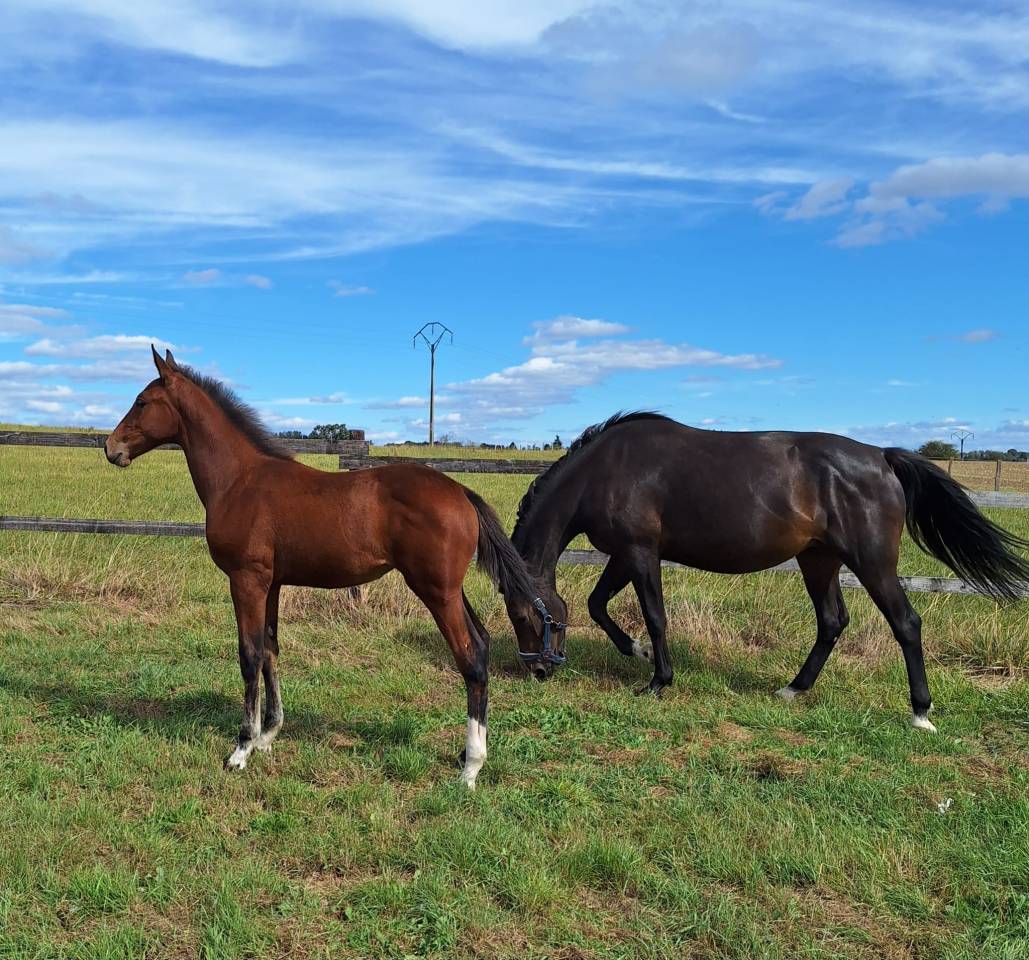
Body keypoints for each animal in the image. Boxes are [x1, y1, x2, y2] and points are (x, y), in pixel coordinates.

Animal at [105, 347, 560, 788]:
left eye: (141, 401)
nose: (112, 449)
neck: (239, 481)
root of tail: (461, 492)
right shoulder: (272, 584)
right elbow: (270, 649)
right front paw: (269, 736)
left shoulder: (246, 580)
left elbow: (249, 654)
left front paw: (242, 749)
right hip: (450, 590)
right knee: (482, 642)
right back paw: (468, 756)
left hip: (436, 591)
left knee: (471, 657)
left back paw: (471, 769)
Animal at [509, 412, 1029, 731]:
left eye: (521, 615)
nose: (538, 671)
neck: (605, 470)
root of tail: (881, 456)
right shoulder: (623, 555)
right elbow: (597, 605)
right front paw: (634, 651)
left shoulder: (639, 553)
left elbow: (655, 617)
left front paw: (657, 680)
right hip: (818, 560)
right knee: (832, 622)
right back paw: (793, 689)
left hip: (872, 562)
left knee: (906, 623)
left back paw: (920, 712)